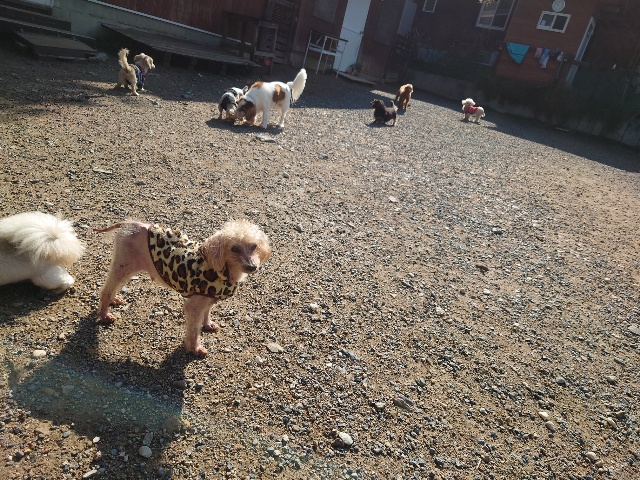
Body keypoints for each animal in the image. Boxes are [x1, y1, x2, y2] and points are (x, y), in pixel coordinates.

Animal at [95, 219, 271, 357]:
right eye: (234, 248)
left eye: (254, 246)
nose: (252, 266)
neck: (220, 269)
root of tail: (129, 223)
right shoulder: (194, 306)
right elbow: (193, 330)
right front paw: (195, 349)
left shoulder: (208, 297)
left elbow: (206, 313)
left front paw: (208, 325)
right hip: (124, 265)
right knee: (106, 289)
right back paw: (105, 314)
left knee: (113, 286)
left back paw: (114, 300)